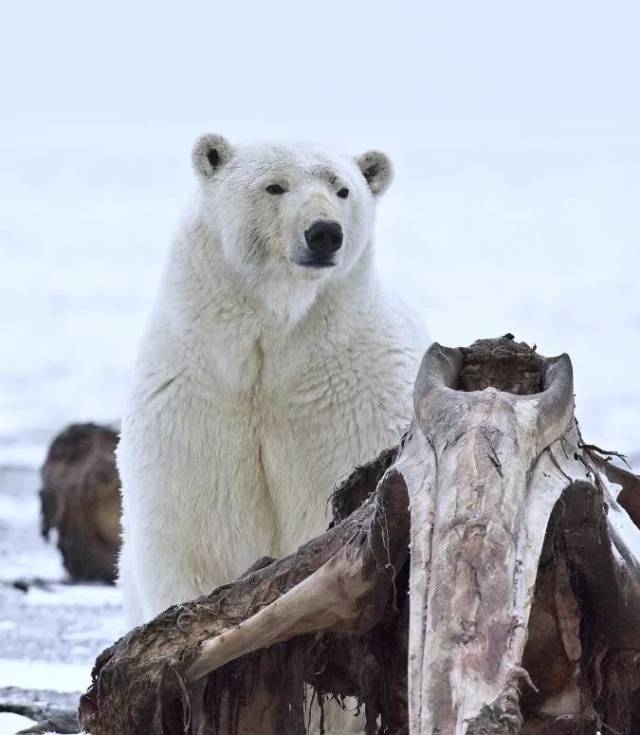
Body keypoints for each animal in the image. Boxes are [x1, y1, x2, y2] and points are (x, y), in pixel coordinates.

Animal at [119, 132, 430, 628]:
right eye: (275, 186)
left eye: (343, 189)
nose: (324, 233)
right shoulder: (195, 401)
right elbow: (195, 533)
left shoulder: (351, 400)